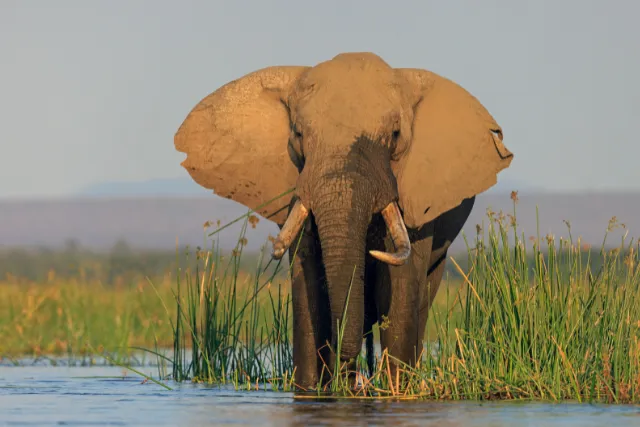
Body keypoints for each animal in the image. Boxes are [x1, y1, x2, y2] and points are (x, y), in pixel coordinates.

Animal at [174, 52, 514, 390]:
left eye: (395, 136)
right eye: (299, 135)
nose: (350, 374)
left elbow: (401, 288)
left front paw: (397, 391)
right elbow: (307, 285)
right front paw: (312, 389)